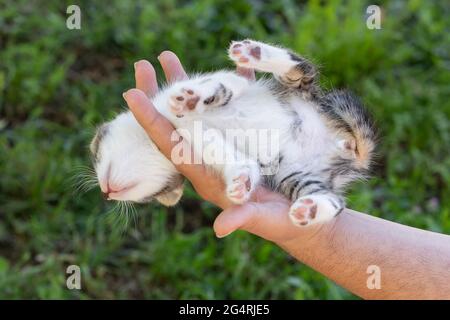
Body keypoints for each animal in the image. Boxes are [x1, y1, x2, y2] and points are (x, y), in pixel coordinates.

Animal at [89, 38, 374, 226]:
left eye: (96, 155)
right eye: (154, 196)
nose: (104, 193)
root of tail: (345, 145)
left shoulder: (231, 83)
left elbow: (223, 85)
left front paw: (193, 99)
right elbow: (225, 153)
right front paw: (242, 180)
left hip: (300, 92)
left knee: (301, 68)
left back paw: (253, 51)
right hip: (295, 175)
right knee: (334, 201)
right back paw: (311, 209)